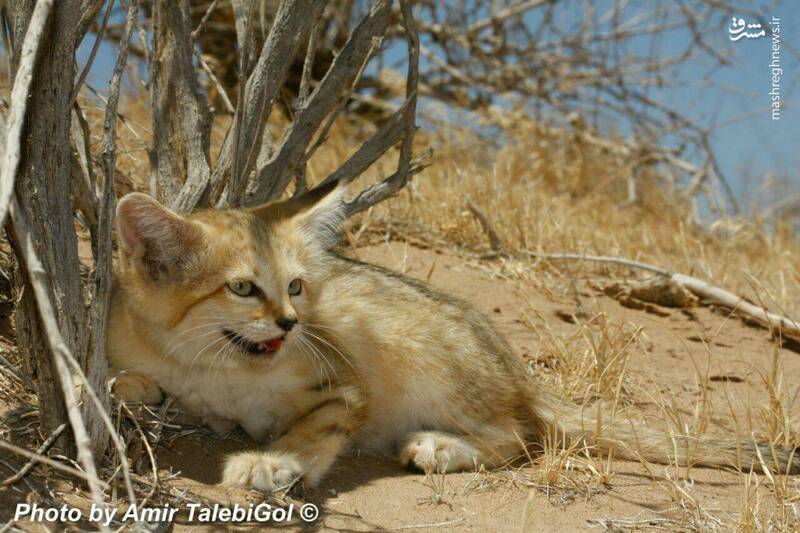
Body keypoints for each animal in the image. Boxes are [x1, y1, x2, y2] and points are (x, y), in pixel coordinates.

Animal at [108, 182, 800, 490]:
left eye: (298, 287)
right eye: (244, 288)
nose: (291, 323)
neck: (215, 370)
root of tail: (519, 375)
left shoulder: (345, 386)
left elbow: (312, 430)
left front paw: (272, 461)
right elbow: (121, 380)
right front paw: (138, 390)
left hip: (422, 357)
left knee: (519, 437)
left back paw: (439, 447)